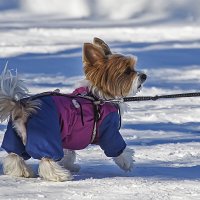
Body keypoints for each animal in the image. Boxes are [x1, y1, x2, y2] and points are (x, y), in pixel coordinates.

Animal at [0, 37, 147, 181]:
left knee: (14, 156)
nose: (144, 76)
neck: (98, 96)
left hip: (15, 138)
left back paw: (23, 172)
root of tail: (22, 108)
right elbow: (118, 148)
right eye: (127, 71)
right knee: (46, 160)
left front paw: (70, 165)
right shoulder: (108, 131)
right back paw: (60, 175)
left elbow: (69, 153)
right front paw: (127, 162)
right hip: (45, 135)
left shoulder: (68, 136)